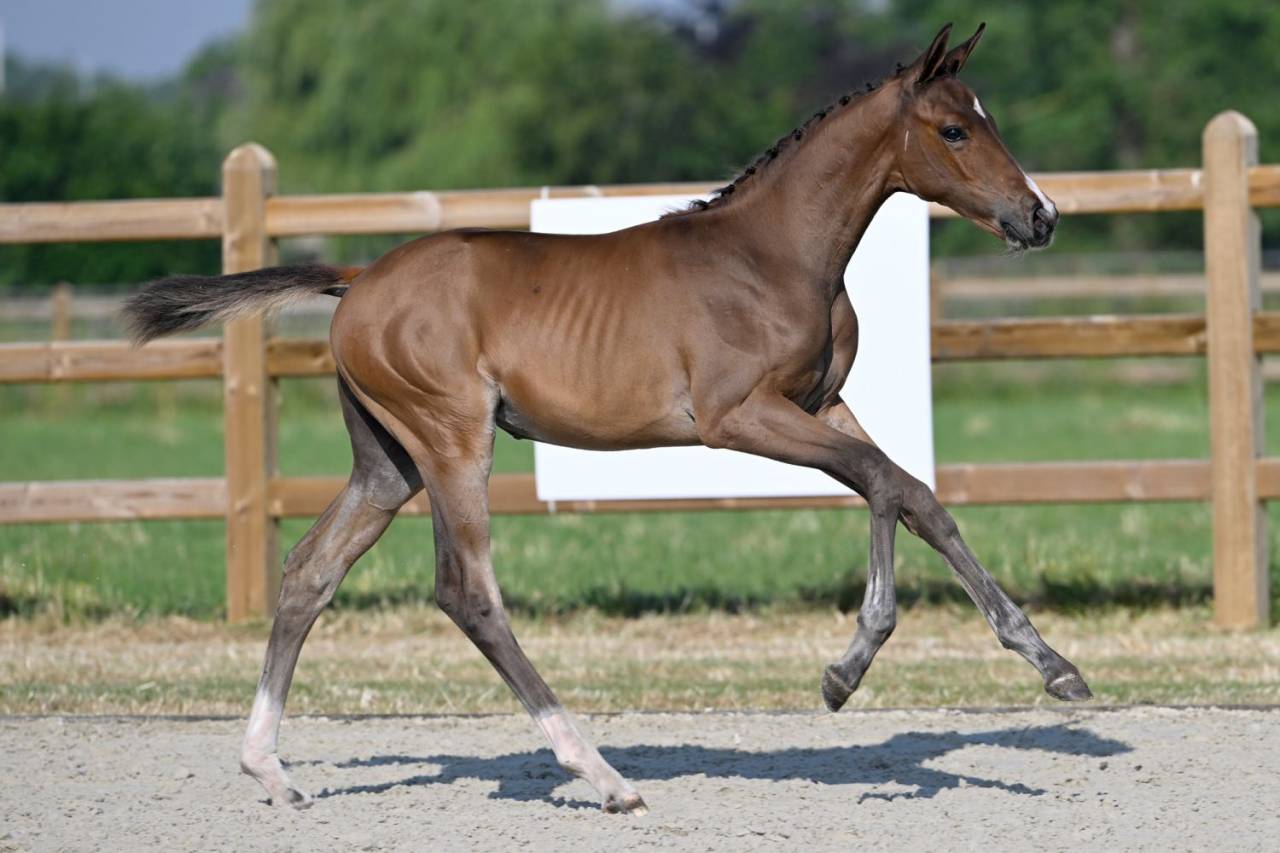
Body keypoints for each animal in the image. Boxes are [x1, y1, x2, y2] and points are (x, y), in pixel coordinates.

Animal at [124, 23, 1087, 816]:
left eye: (986, 119)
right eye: (955, 130)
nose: (1039, 216)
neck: (772, 255)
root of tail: (357, 282)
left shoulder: (821, 404)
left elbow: (917, 494)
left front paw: (1054, 665)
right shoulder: (741, 416)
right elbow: (885, 484)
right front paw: (847, 669)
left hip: (387, 461)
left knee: (308, 570)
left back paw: (271, 769)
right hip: (452, 438)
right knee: (467, 591)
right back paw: (603, 774)